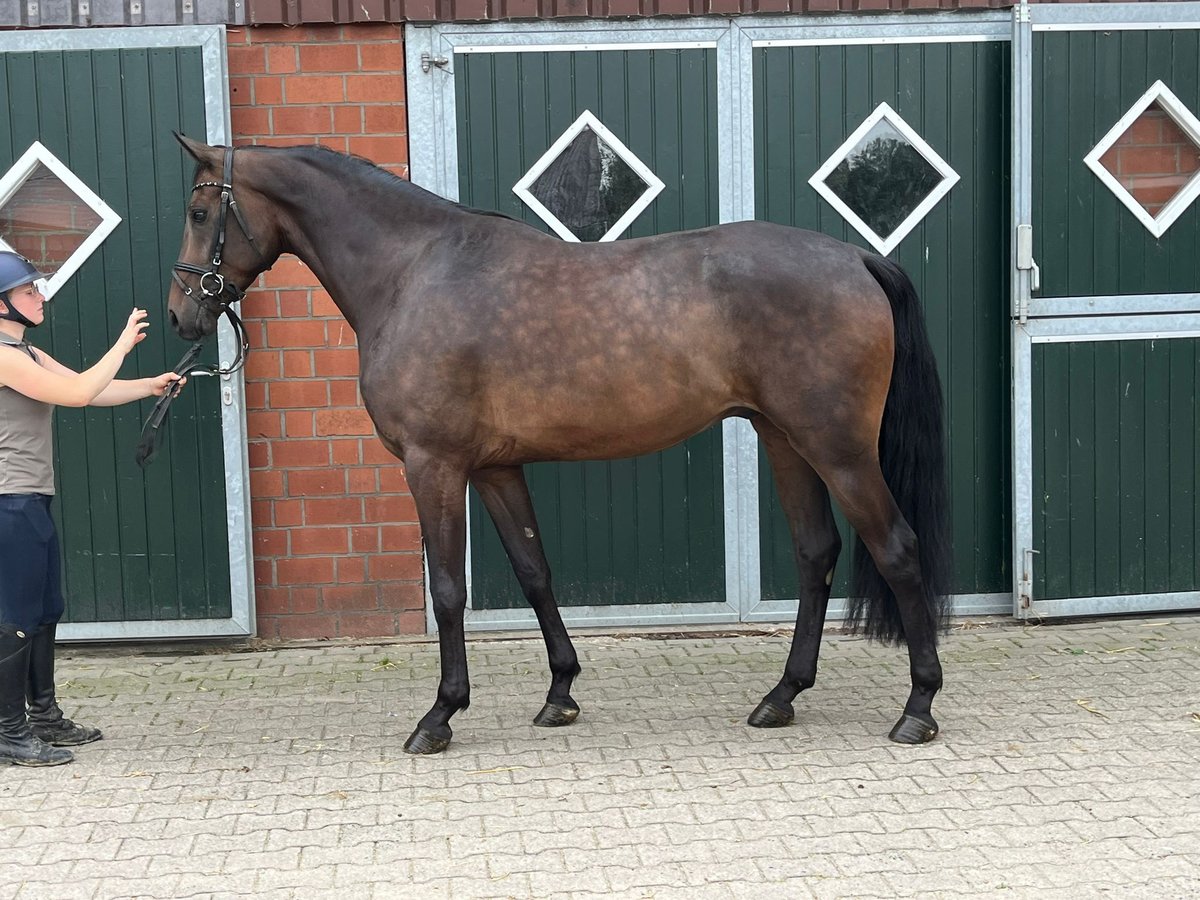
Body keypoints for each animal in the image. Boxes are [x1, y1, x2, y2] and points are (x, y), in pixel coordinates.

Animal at [169, 133, 950, 753]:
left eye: (200, 213)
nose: (181, 314)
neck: (413, 272)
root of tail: (857, 259)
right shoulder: (495, 468)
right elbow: (533, 571)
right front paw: (560, 694)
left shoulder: (433, 465)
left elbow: (448, 589)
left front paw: (440, 715)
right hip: (786, 441)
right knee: (816, 553)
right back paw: (780, 697)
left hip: (840, 450)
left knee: (897, 549)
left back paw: (917, 707)